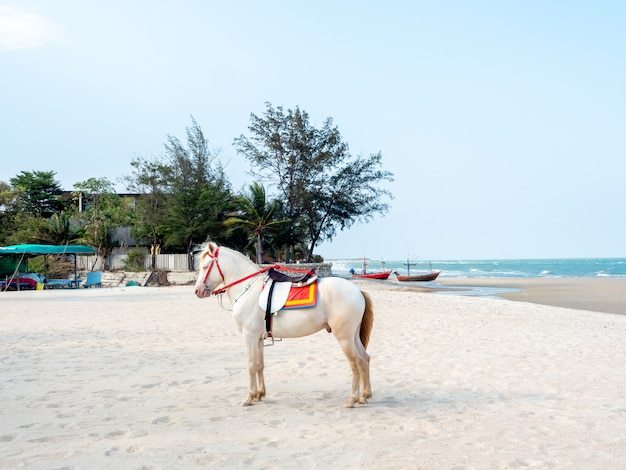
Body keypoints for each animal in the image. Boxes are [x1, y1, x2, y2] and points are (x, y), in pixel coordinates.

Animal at [193, 242, 372, 408]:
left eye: (205, 266)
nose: (197, 291)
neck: (248, 289)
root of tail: (357, 290)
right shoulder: (258, 339)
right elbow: (259, 365)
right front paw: (259, 395)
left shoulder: (249, 336)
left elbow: (251, 366)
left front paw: (249, 397)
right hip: (353, 335)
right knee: (364, 359)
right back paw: (364, 396)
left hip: (344, 338)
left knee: (355, 362)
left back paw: (352, 399)